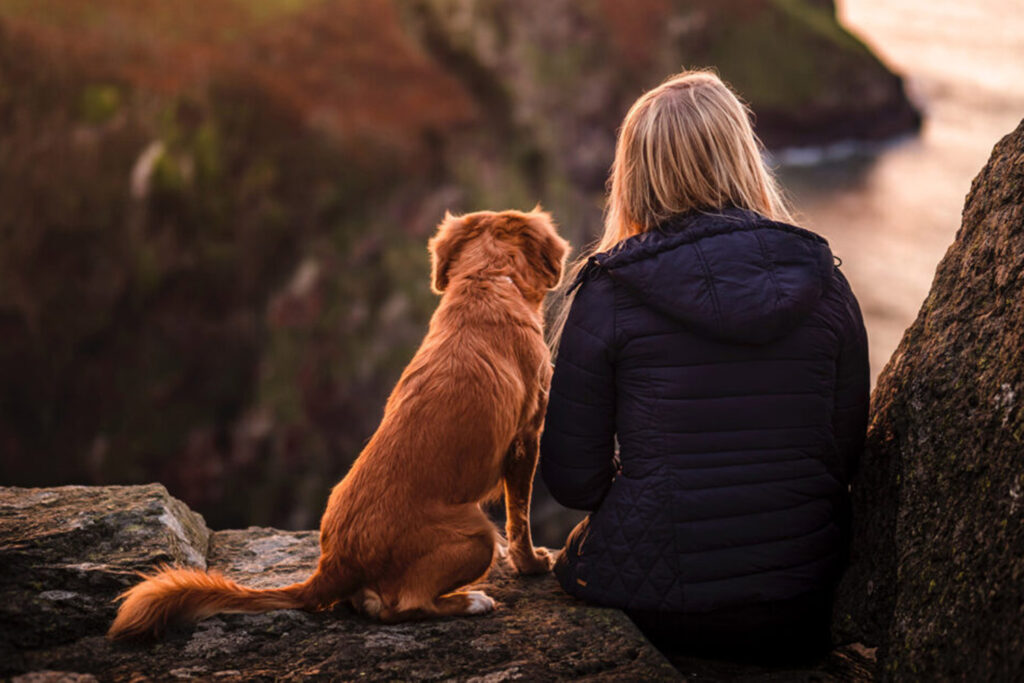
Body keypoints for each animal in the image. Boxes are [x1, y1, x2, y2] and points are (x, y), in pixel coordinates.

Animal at [109, 209, 573, 643]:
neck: (487, 281)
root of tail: (333, 564)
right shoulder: (527, 437)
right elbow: (520, 516)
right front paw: (532, 564)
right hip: (476, 534)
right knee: (404, 605)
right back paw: (470, 601)